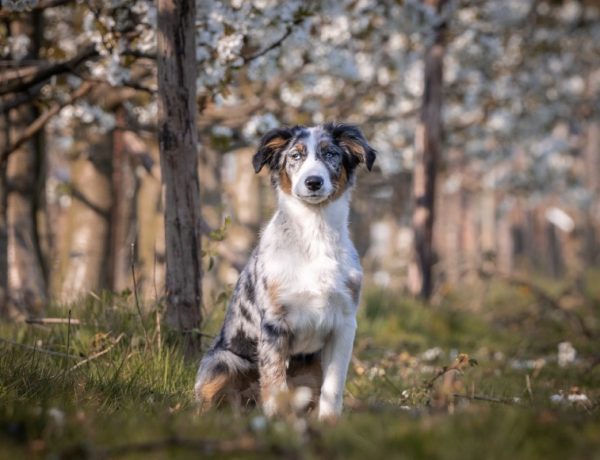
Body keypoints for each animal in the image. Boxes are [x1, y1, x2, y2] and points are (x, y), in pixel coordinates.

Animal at [196, 122, 376, 420]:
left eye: (331, 154)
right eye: (295, 156)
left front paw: (330, 423)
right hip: (223, 361)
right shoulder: (274, 324)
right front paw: (277, 423)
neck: (314, 235)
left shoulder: (344, 324)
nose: (313, 182)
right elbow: (274, 382)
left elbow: (333, 386)